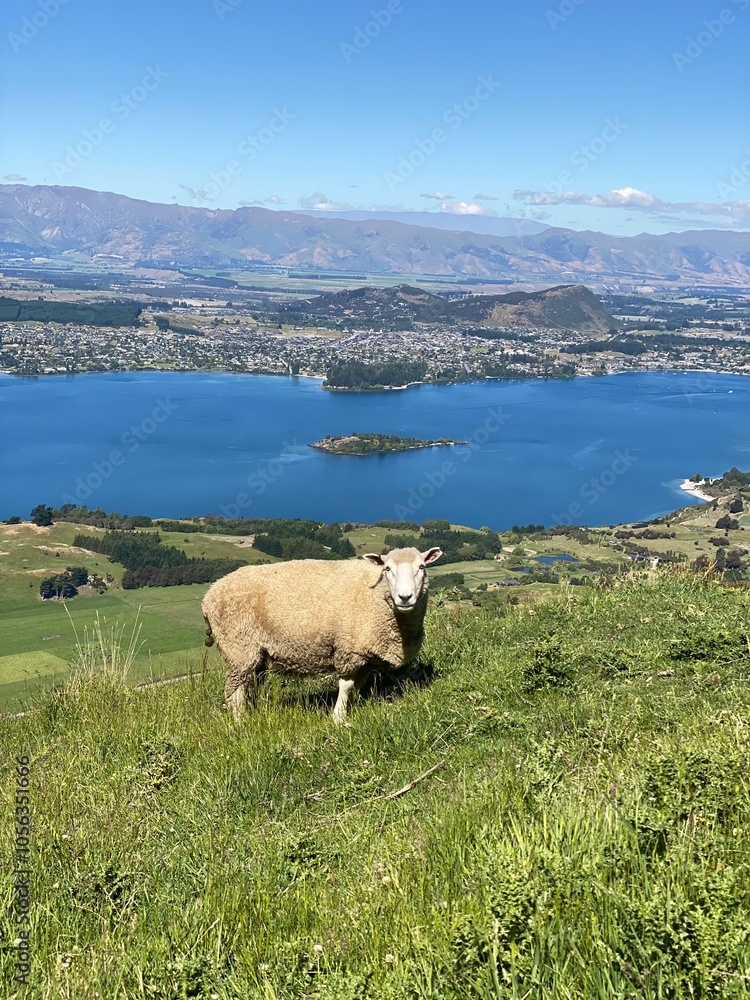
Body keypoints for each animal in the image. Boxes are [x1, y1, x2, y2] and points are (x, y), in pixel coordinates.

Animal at [201, 546, 443, 723]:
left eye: (422, 567)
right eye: (387, 569)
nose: (405, 597)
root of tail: (208, 596)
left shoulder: (364, 656)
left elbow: (358, 685)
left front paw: (353, 708)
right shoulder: (348, 650)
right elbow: (346, 685)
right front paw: (339, 718)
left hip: (253, 653)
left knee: (249, 684)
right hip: (238, 646)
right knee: (234, 691)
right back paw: (240, 722)